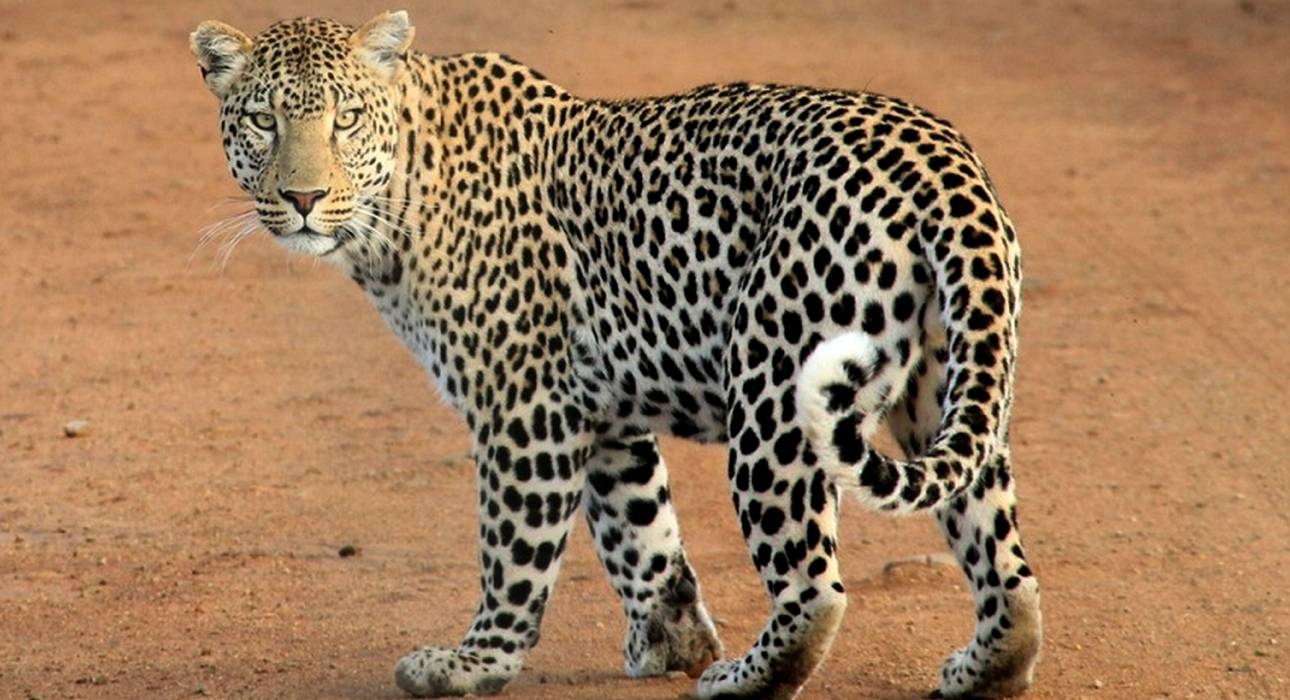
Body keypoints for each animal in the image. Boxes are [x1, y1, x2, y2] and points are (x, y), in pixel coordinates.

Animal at [191, 11, 1042, 699]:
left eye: (346, 120)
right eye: (263, 120)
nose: (302, 198)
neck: (397, 200)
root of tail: (943, 163)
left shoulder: (524, 407)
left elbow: (514, 551)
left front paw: (475, 662)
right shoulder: (599, 413)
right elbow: (642, 533)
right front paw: (672, 641)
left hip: (773, 391)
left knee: (814, 587)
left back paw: (744, 679)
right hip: (946, 387)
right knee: (1002, 559)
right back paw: (985, 667)